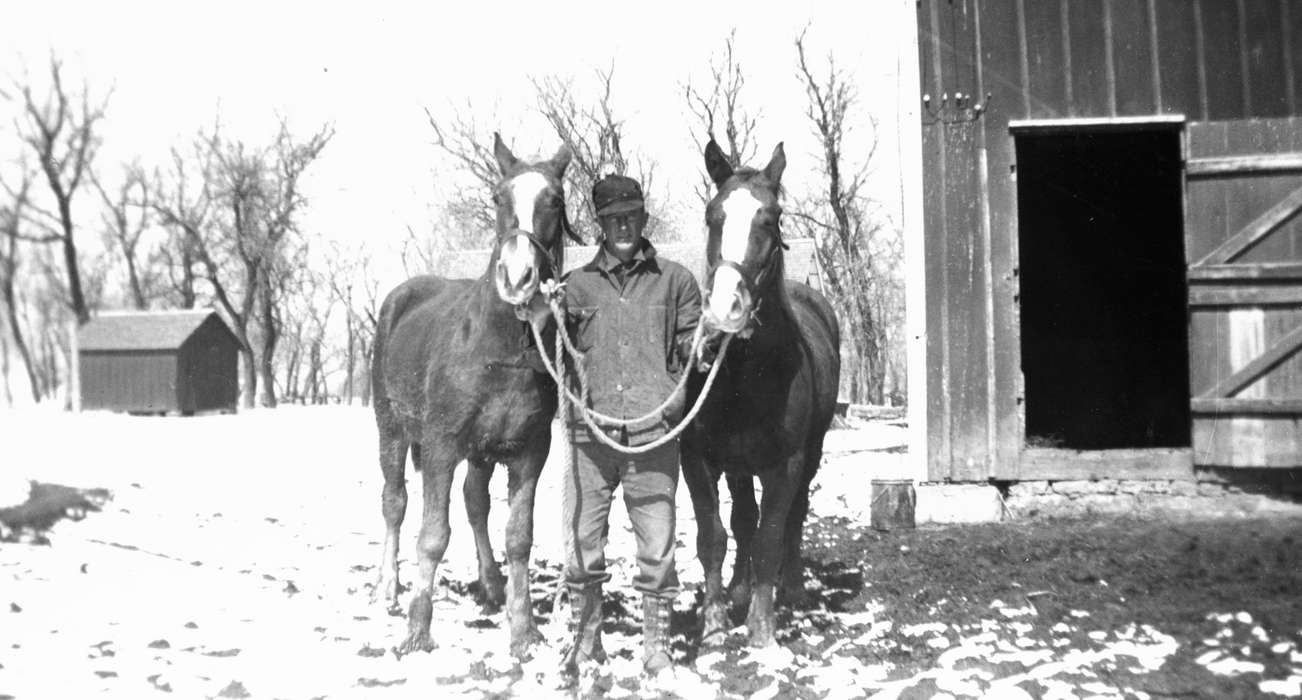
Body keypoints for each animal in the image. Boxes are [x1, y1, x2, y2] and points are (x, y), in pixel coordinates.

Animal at [367, 133, 570, 655]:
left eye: (555, 201)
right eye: (498, 197)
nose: (517, 278)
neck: (498, 345)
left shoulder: (529, 452)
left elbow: (518, 537)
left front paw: (524, 631)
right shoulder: (441, 446)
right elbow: (432, 535)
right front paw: (418, 631)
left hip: (481, 453)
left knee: (475, 503)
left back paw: (492, 585)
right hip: (391, 431)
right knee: (394, 502)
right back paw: (387, 588)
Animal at [682, 139, 843, 645]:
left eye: (770, 218)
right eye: (713, 215)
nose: (725, 309)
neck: (745, 374)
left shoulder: (785, 464)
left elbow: (772, 532)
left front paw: (762, 626)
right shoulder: (699, 461)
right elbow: (714, 536)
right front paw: (715, 620)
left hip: (812, 452)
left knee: (793, 516)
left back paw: (790, 588)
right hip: (738, 465)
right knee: (742, 519)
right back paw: (739, 588)